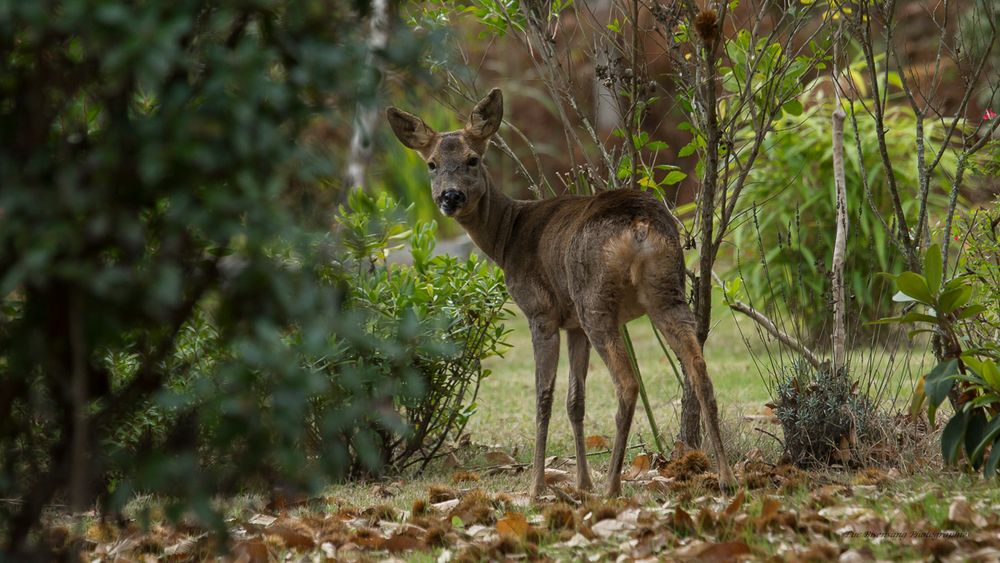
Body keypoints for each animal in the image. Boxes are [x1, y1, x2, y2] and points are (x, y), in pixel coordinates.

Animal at [386, 88, 740, 498]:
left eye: (473, 159)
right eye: (431, 164)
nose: (450, 197)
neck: (506, 237)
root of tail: (639, 225)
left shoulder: (541, 312)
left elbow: (544, 397)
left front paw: (538, 486)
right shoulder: (572, 325)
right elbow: (576, 401)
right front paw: (582, 482)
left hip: (595, 299)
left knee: (627, 383)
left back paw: (613, 486)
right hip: (667, 290)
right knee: (701, 374)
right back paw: (726, 479)